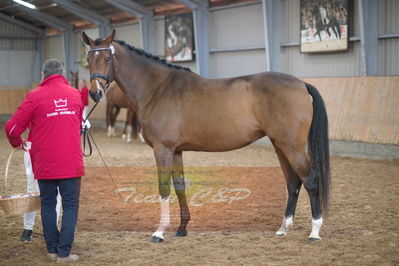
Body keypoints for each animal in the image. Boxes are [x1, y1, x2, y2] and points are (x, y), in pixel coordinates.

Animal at [82, 30, 332, 243]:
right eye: (89, 59)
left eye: (107, 58)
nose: (95, 93)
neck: (158, 89)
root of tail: (301, 84)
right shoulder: (176, 150)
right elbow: (180, 185)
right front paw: (182, 228)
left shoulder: (163, 149)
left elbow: (164, 188)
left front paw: (159, 232)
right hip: (280, 144)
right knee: (293, 182)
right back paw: (284, 227)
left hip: (292, 146)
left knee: (310, 180)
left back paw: (315, 231)